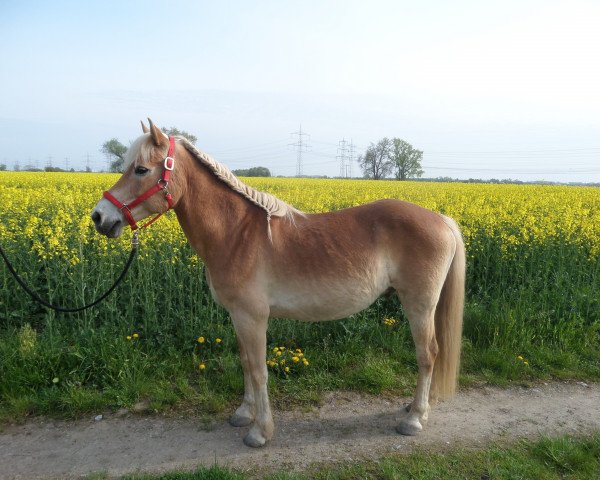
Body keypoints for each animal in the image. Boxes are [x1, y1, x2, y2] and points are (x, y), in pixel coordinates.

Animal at [91, 119, 466, 446]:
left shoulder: (253, 317)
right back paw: (417, 408)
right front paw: (244, 414)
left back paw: (414, 419)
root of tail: (442, 220)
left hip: (419, 304)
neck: (236, 233)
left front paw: (259, 432)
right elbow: (245, 363)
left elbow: (259, 371)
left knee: (428, 354)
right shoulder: (238, 316)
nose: (99, 217)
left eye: (141, 169)